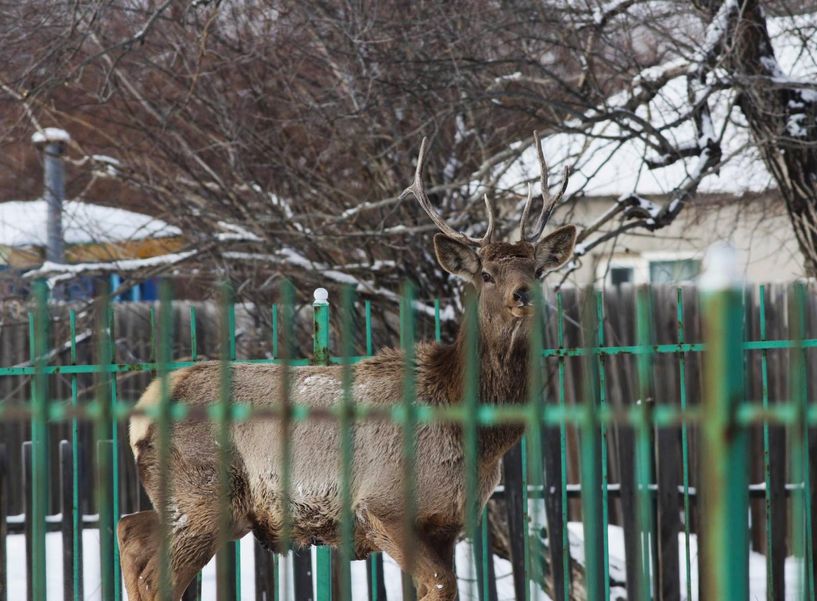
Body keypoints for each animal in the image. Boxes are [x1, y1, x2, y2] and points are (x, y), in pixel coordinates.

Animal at [118, 135, 576, 600]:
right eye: (485, 274)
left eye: (537, 269)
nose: (524, 293)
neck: (474, 434)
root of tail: (141, 412)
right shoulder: (382, 505)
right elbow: (440, 585)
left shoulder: (448, 522)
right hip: (204, 497)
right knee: (154, 573)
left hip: (188, 501)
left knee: (129, 531)